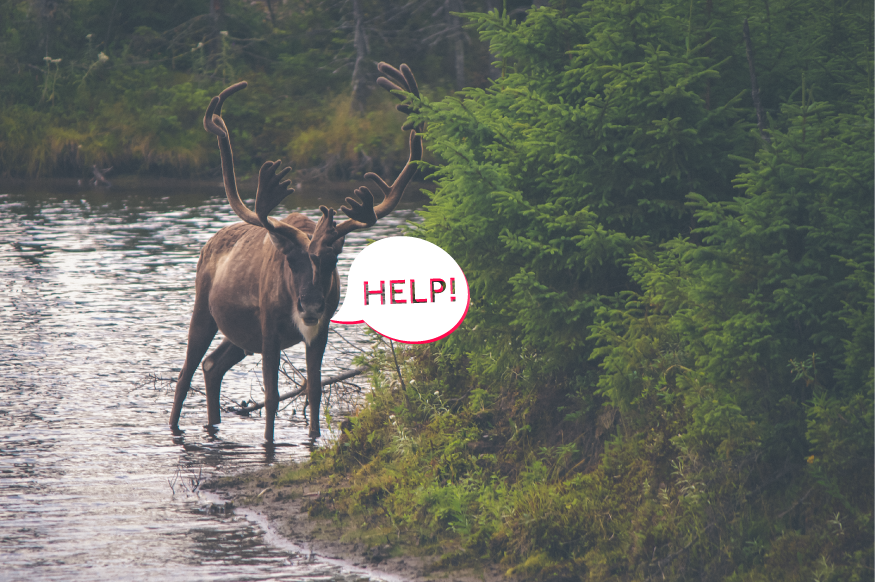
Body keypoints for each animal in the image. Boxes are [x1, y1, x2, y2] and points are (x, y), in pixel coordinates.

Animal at [169, 63, 423, 441]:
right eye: (290, 260)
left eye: (332, 259)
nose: (311, 305)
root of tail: (210, 243)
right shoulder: (270, 328)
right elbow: (273, 395)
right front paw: (269, 441)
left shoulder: (321, 329)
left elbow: (314, 389)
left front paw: (314, 437)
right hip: (204, 309)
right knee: (185, 373)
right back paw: (175, 425)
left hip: (240, 335)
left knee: (212, 365)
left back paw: (213, 424)